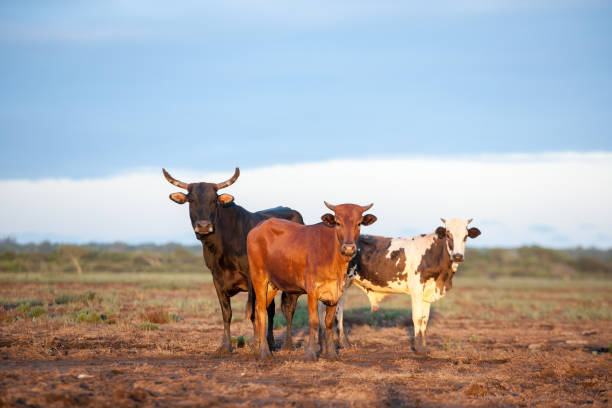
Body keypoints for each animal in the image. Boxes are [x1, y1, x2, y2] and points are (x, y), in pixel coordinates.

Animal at [164, 167, 304, 352]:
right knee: (272, 309)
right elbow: (227, 313)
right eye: (191, 200)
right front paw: (226, 346)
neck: (222, 247)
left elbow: (253, 312)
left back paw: (287, 345)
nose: (203, 226)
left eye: (214, 201)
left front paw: (256, 345)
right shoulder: (217, 279)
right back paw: (271, 342)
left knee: (289, 309)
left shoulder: (252, 278)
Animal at [246, 202, 376, 360]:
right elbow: (314, 322)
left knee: (259, 311)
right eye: (338, 223)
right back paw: (265, 352)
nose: (349, 248)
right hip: (259, 278)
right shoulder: (312, 291)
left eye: (359, 223)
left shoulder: (336, 292)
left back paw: (257, 349)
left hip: (271, 284)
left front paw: (332, 354)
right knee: (260, 311)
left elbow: (329, 323)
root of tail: (259, 227)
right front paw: (311, 354)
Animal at [328, 217, 480, 354]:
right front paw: (418, 348)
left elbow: (424, 320)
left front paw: (424, 346)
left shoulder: (427, 293)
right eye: (448, 234)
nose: (458, 256)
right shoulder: (416, 291)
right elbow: (417, 318)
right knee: (337, 313)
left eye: (466, 236)